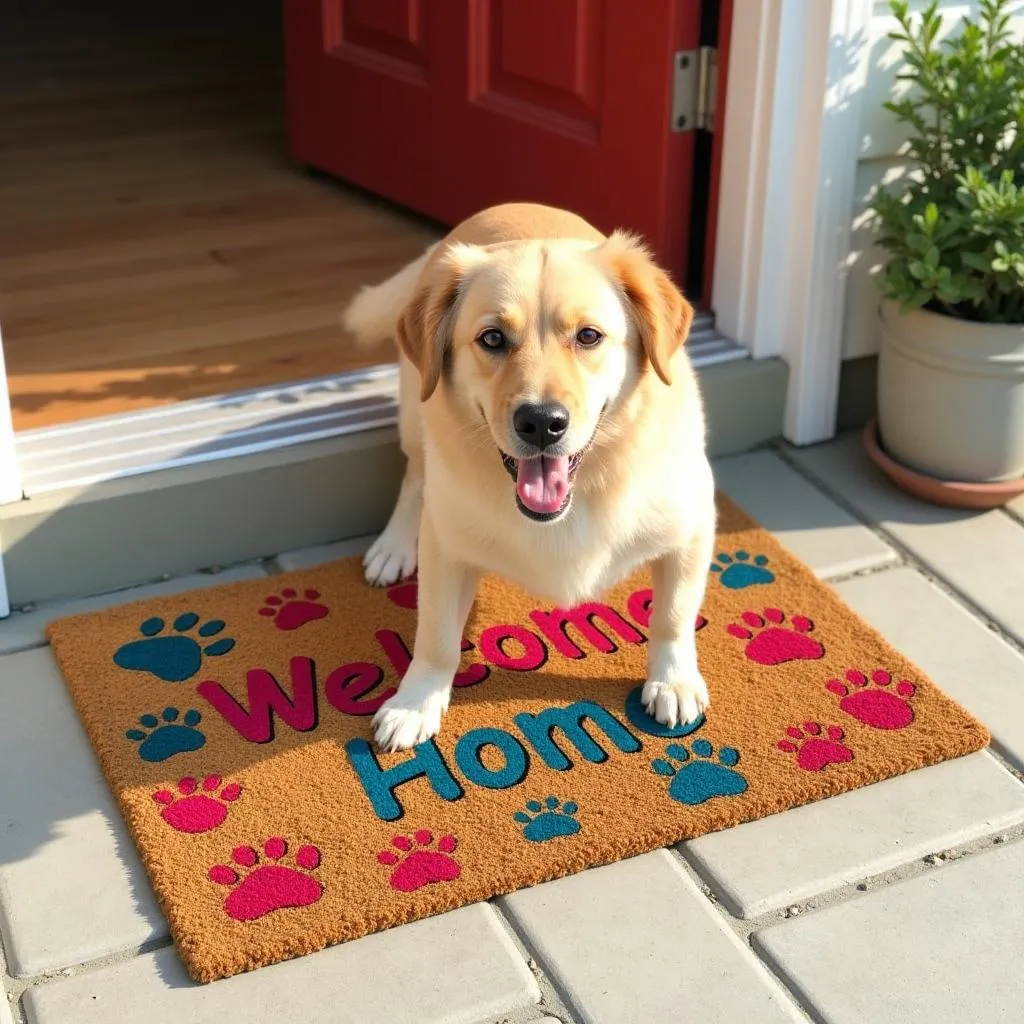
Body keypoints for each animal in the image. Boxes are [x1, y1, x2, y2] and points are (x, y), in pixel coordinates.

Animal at [339, 201, 716, 753]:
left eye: (588, 336)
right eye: (493, 338)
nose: (541, 421)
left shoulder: (693, 527)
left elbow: (673, 616)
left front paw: (673, 679)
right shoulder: (445, 545)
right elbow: (436, 638)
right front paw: (417, 701)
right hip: (415, 414)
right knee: (414, 477)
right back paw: (394, 545)